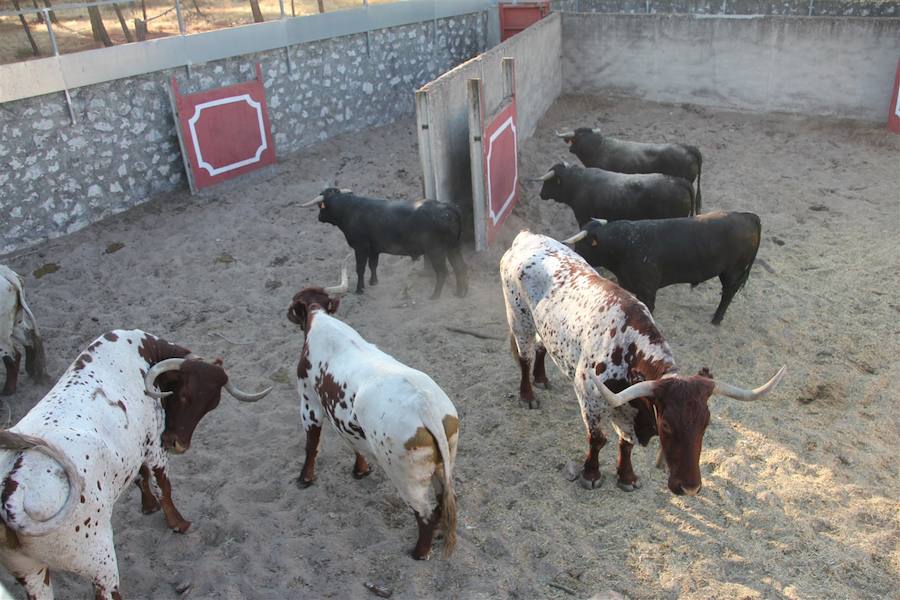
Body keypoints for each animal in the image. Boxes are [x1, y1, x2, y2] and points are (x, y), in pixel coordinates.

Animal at [304, 189, 468, 298]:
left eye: (321, 206)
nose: (319, 217)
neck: (349, 209)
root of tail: (447, 207)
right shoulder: (373, 249)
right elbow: (373, 265)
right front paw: (373, 282)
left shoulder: (360, 247)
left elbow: (360, 268)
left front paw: (359, 289)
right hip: (453, 247)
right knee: (460, 267)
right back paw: (461, 293)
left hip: (436, 251)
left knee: (443, 272)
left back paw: (435, 296)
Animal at [568, 211, 764, 324]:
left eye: (582, 244)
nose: (574, 257)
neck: (626, 243)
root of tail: (747, 216)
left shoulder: (647, 290)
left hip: (732, 271)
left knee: (729, 292)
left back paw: (716, 319)